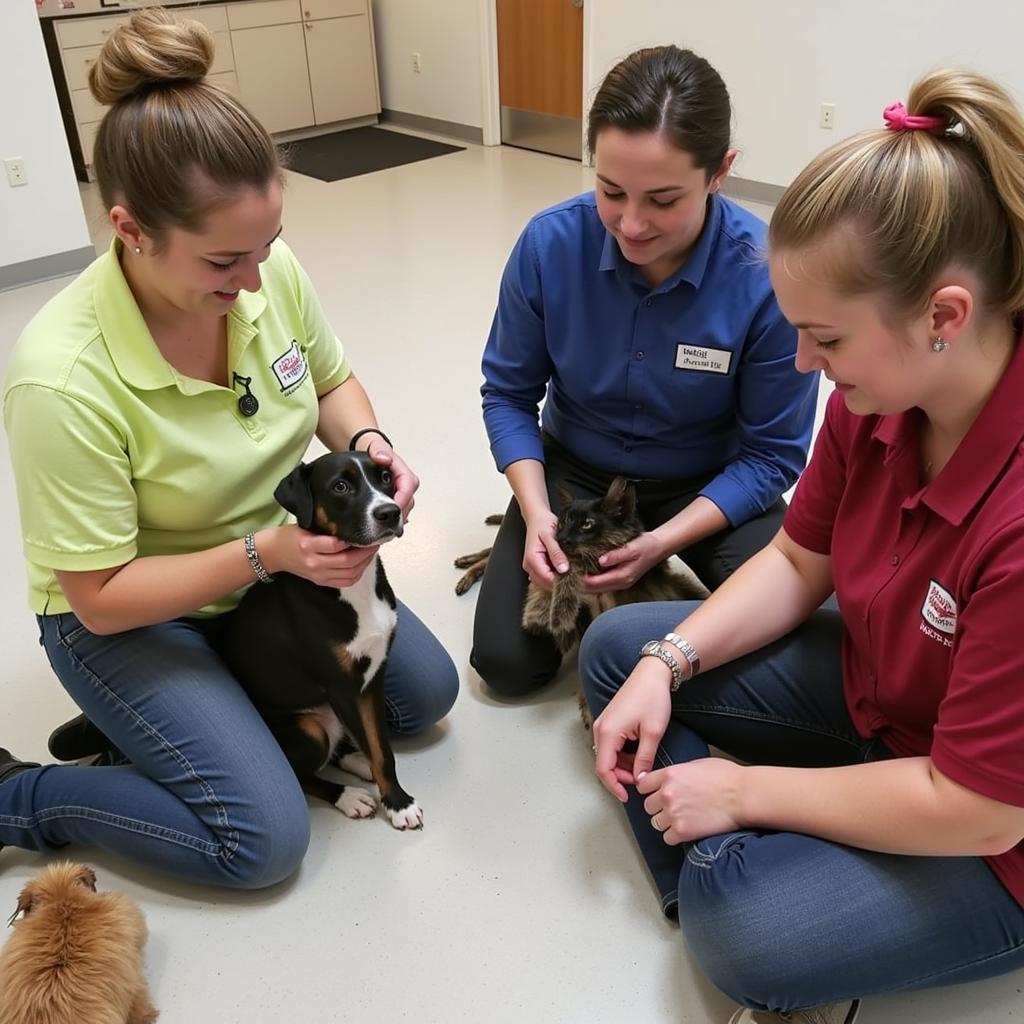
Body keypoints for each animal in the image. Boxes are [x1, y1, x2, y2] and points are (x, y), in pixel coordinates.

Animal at [222, 456, 421, 831]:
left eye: (385, 477)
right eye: (340, 486)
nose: (389, 512)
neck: (354, 588)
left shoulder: (373, 679)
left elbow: (381, 748)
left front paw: (395, 796)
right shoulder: (342, 687)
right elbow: (374, 748)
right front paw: (398, 805)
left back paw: (357, 763)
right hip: (310, 729)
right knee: (304, 776)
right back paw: (349, 796)